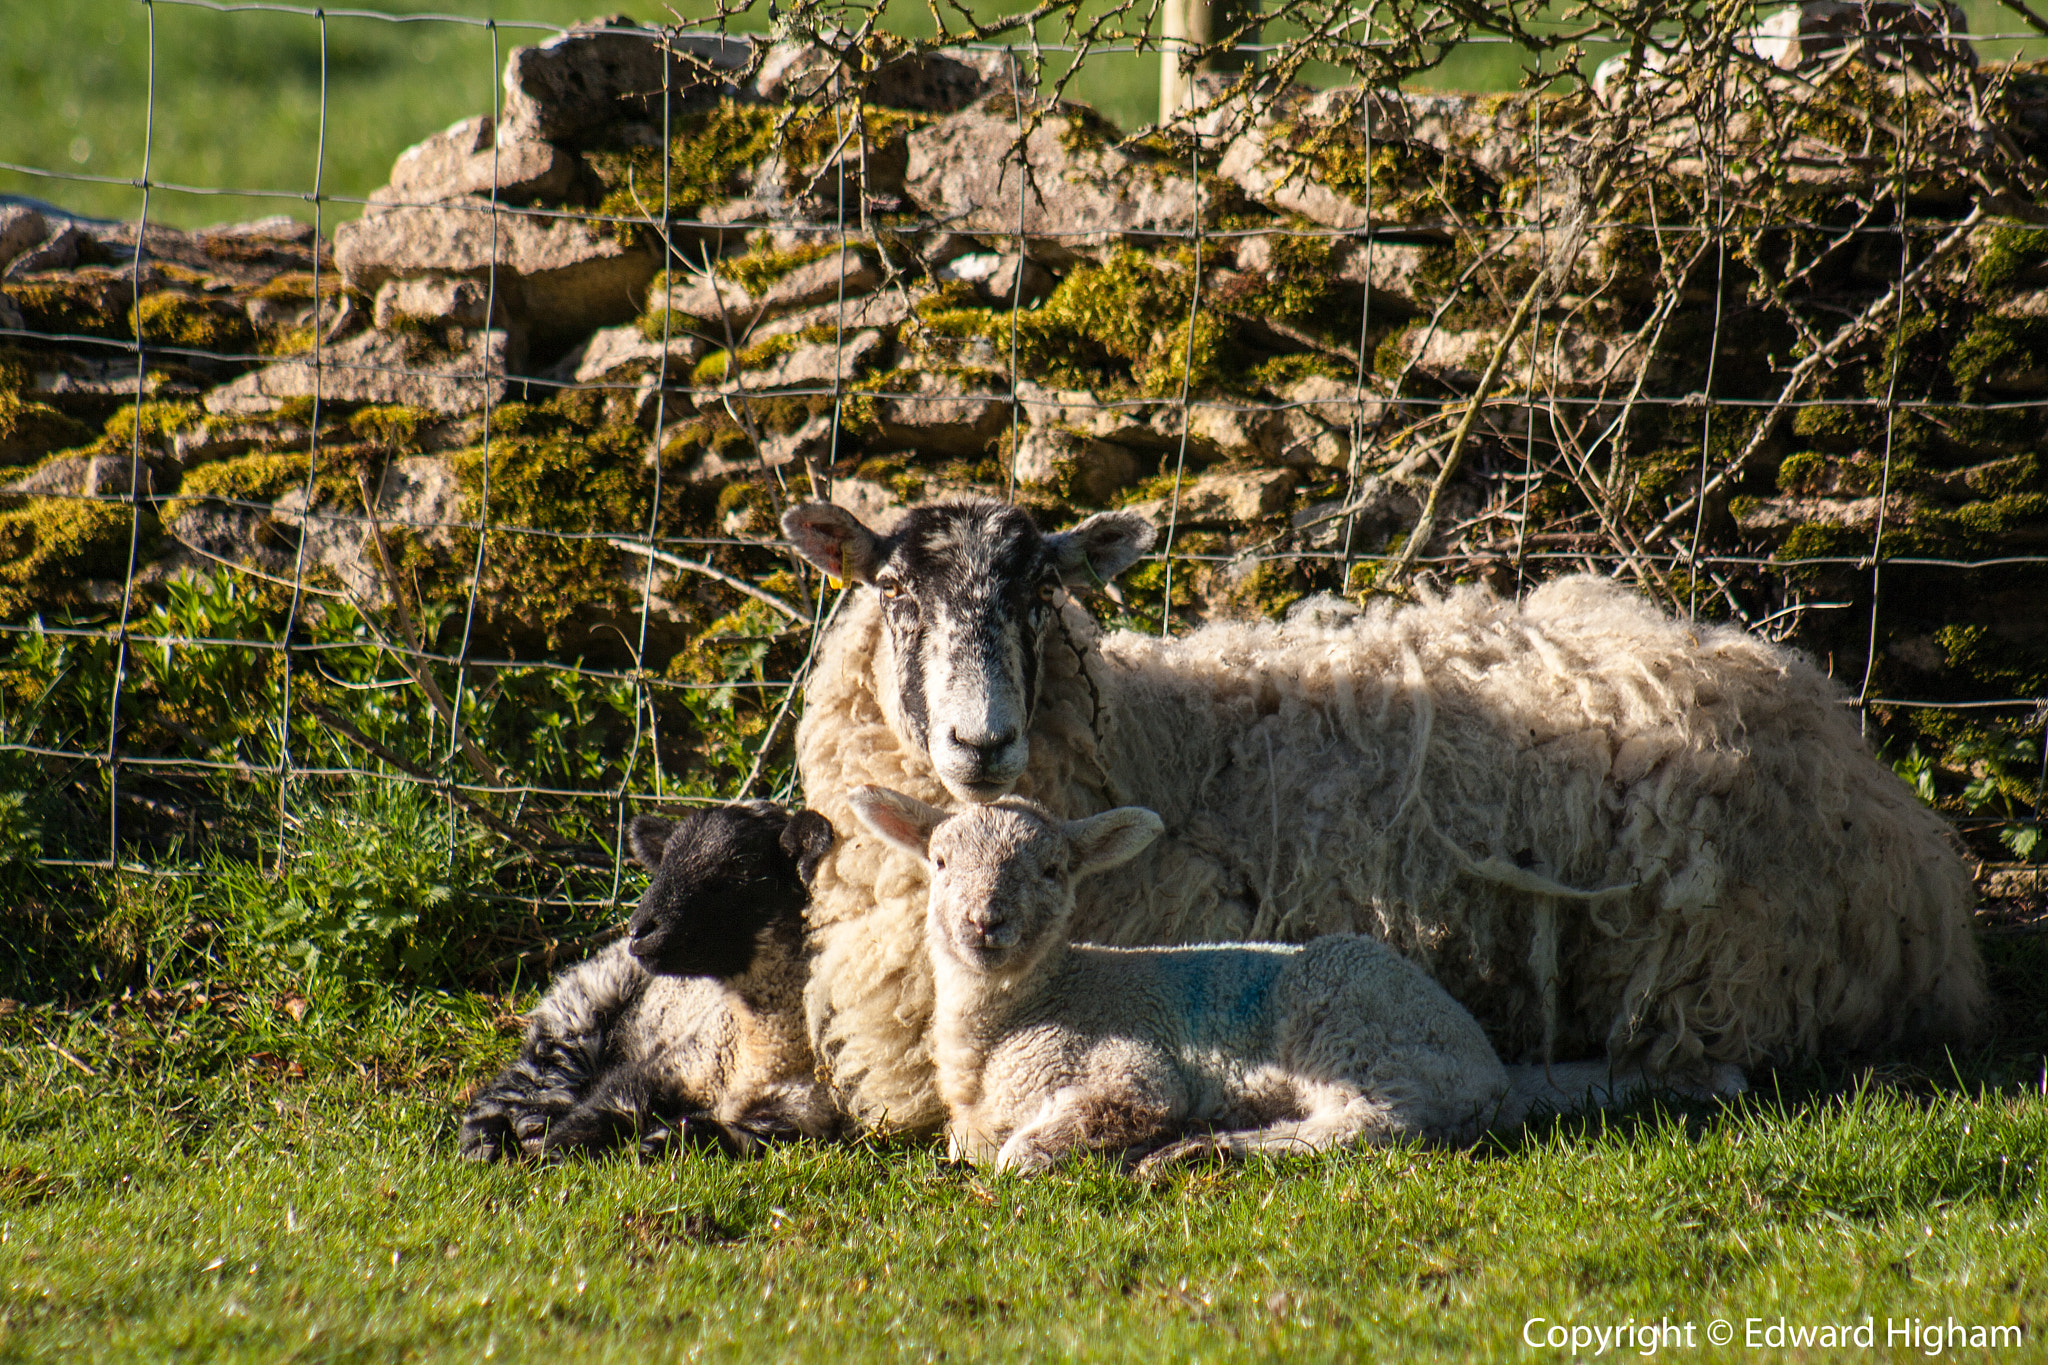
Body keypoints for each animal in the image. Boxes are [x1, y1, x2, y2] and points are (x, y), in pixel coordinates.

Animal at [458, 802, 843, 1160]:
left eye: (741, 868)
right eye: (665, 862)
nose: (639, 931)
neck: (756, 1053)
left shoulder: (791, 1120)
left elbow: (712, 1135)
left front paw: (657, 1144)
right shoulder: (669, 1064)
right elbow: (604, 1107)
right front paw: (555, 1151)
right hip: (583, 1003)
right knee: (532, 1070)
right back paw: (491, 1136)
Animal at [848, 786, 1745, 1173]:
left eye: (1053, 868)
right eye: (938, 861)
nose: (985, 923)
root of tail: (1491, 1065)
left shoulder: (1128, 1065)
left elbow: (1048, 1138)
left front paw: (1036, 1157)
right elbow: (971, 1141)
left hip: (1349, 1015)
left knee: (1377, 1124)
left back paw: (1200, 1149)